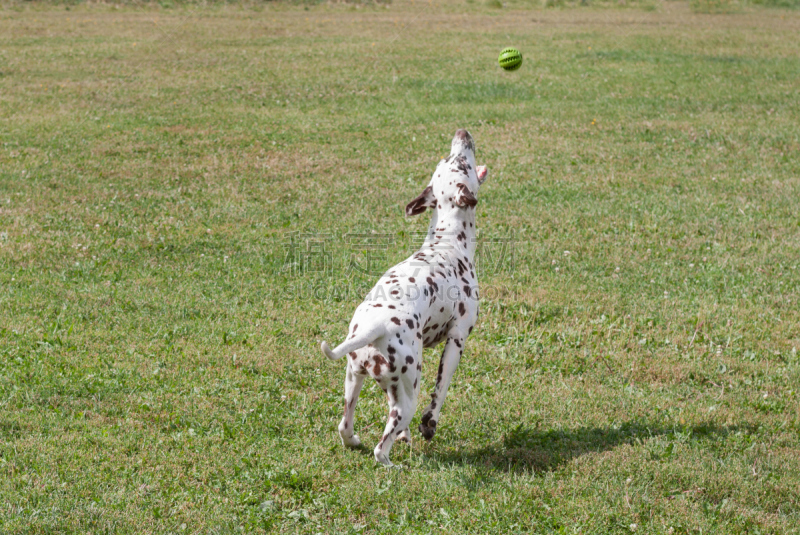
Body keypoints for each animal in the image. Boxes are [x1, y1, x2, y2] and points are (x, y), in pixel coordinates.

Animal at [320, 130, 488, 468]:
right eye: (459, 161)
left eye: (448, 158)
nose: (462, 133)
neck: (448, 242)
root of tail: (374, 327)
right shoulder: (457, 340)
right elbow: (439, 394)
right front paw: (428, 426)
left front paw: (408, 435)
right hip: (409, 394)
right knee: (379, 450)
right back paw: (394, 465)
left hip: (353, 381)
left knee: (345, 426)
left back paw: (356, 440)